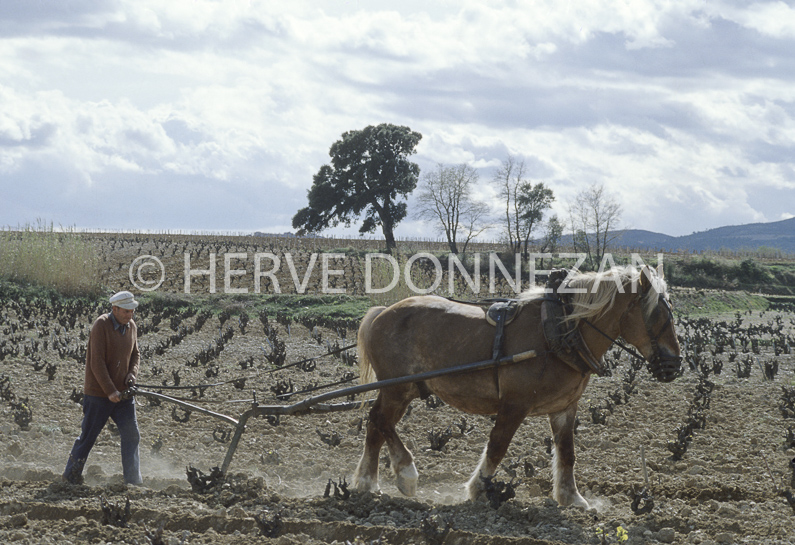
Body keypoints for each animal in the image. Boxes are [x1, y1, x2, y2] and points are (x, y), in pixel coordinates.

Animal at [354, 264, 684, 506]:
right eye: (656, 314)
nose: (673, 366)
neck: (560, 331)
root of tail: (381, 312)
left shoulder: (565, 408)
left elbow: (567, 452)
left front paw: (572, 498)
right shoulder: (514, 404)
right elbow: (498, 446)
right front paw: (478, 489)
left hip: (405, 390)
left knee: (375, 425)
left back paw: (367, 483)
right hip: (397, 389)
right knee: (380, 420)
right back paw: (405, 474)